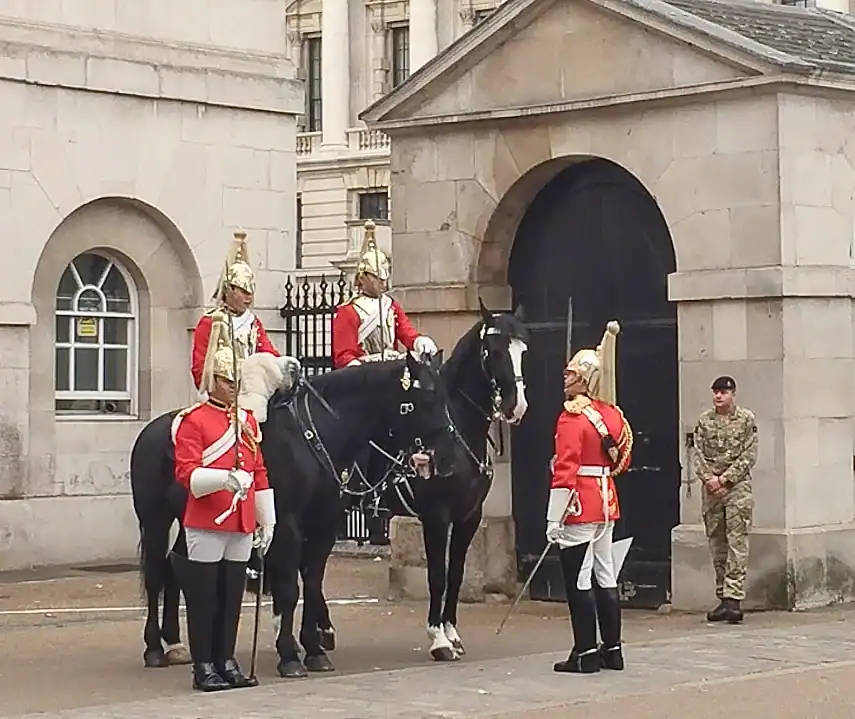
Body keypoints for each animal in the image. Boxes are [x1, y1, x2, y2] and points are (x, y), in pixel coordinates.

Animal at [128, 352, 458, 676]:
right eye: (424, 400)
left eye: (445, 397)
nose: (449, 459)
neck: (314, 438)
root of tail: (150, 429)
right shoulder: (287, 525)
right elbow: (289, 587)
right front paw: (289, 655)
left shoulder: (324, 526)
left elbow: (312, 582)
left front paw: (313, 650)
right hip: (156, 521)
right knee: (156, 575)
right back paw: (155, 648)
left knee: (176, 569)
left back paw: (175, 645)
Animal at [312, 300, 528, 664]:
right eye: (494, 350)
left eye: (523, 350)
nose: (517, 407)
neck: (458, 433)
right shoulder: (436, 515)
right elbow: (437, 575)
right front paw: (438, 639)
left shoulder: (469, 516)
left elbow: (456, 574)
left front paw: (452, 633)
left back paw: (322, 630)